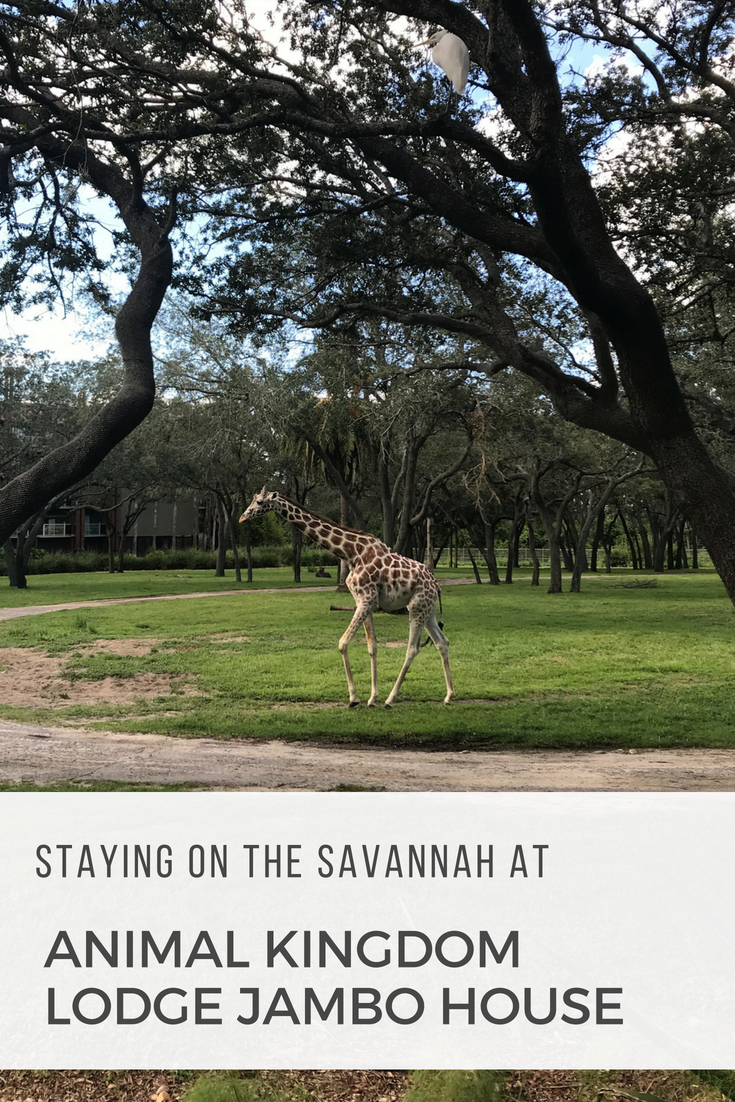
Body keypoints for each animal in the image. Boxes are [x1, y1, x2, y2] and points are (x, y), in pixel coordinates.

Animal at [239, 488, 455, 707]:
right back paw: (448, 695)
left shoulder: (367, 599)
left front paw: (354, 698)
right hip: (427, 609)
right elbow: (372, 646)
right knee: (442, 642)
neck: (351, 553)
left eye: (259, 502)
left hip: (417, 607)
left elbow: (343, 643)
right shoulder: (364, 601)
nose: (243, 517)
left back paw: (391, 699)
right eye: (253, 500)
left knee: (412, 648)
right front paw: (372, 698)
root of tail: (436, 584)